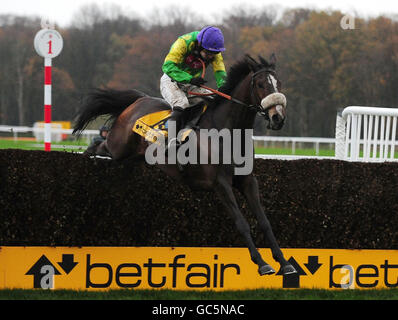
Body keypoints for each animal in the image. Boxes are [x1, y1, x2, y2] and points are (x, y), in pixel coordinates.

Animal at [73, 54, 296, 276]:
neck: (227, 131)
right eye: (260, 84)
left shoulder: (248, 180)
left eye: (279, 83)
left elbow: (265, 222)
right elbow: (241, 223)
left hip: (134, 156)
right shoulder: (220, 183)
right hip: (118, 146)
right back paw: (84, 157)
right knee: (99, 146)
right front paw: (262, 263)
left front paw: (284, 262)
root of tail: (138, 100)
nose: (278, 118)